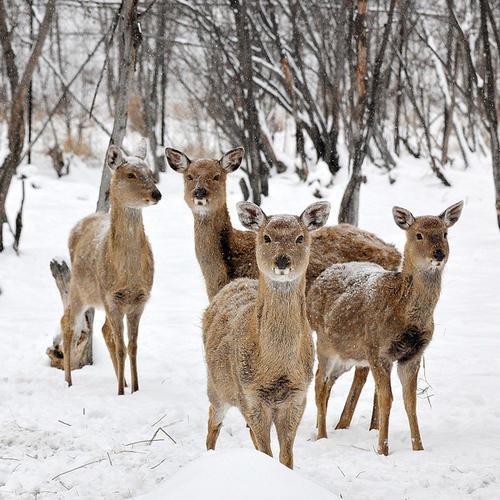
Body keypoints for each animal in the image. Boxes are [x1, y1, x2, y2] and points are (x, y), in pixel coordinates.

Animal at [58, 138, 161, 394]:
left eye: (150, 173)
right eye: (131, 174)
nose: (157, 193)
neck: (127, 272)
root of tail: (79, 224)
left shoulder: (139, 300)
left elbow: (132, 346)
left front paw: (134, 388)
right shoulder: (111, 297)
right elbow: (122, 346)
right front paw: (121, 393)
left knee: (104, 329)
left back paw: (121, 380)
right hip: (80, 288)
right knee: (67, 322)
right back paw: (68, 381)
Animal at [167, 145, 402, 430]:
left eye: (216, 175)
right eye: (189, 176)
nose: (199, 193)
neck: (225, 269)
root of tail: (395, 252)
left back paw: (353, 425)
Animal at [202, 199, 332, 468]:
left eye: (300, 237)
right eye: (267, 237)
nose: (282, 261)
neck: (274, 367)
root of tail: (234, 283)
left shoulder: (297, 396)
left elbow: (286, 455)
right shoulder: (250, 395)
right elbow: (265, 450)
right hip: (217, 386)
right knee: (212, 420)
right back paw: (208, 455)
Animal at [306, 201, 462, 456]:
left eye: (445, 233)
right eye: (419, 235)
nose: (439, 253)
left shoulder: (412, 355)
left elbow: (410, 401)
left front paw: (418, 448)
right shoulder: (376, 350)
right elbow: (386, 398)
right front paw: (382, 449)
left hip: (347, 354)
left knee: (328, 382)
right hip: (324, 341)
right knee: (319, 381)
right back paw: (322, 436)